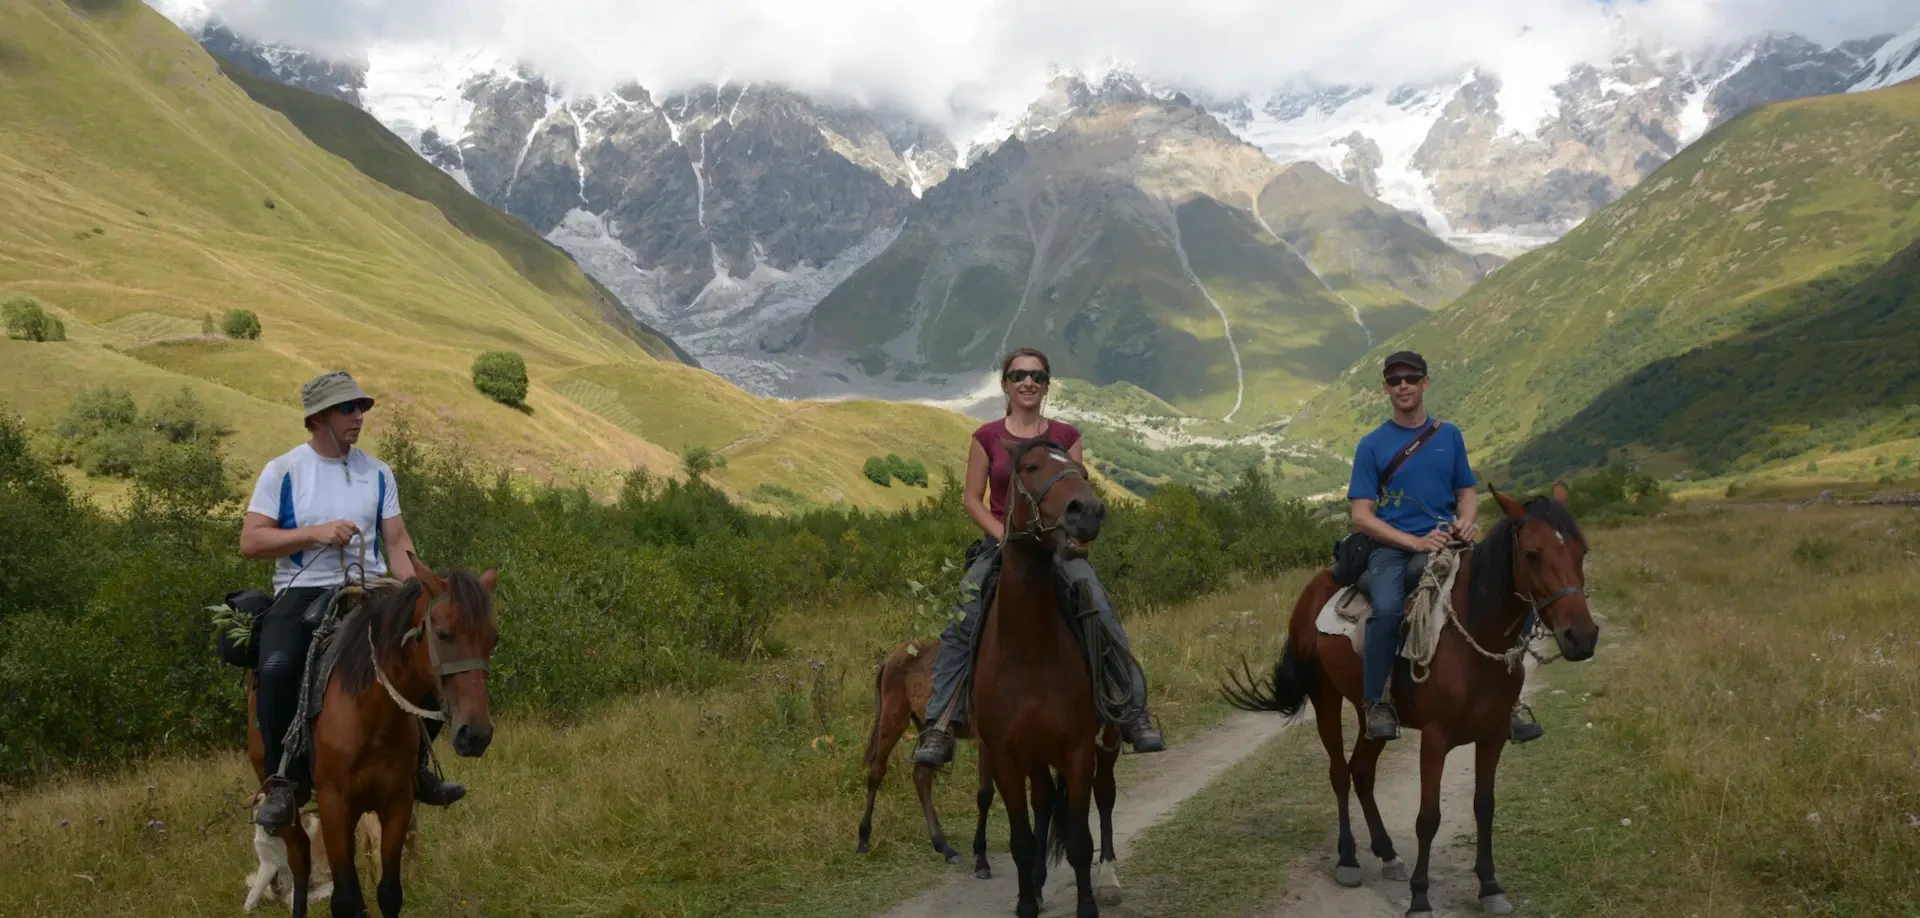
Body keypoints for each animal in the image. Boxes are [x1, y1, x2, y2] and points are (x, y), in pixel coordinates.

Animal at [243, 553, 499, 918]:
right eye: (442, 632)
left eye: (493, 638)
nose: (475, 734)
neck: (371, 717)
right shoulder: (335, 805)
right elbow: (345, 899)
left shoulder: (397, 804)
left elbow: (389, 892)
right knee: (299, 859)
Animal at [860, 633, 1121, 879]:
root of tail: (893, 657)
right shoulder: (990, 744)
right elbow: (985, 794)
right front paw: (982, 860)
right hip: (893, 719)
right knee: (876, 772)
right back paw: (863, 840)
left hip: (924, 726)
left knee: (921, 777)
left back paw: (945, 847)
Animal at [975, 437, 1121, 918]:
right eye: (1031, 467)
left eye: (1083, 471)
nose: (1088, 511)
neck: (1028, 652)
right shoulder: (1004, 756)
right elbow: (1021, 840)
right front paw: (1027, 901)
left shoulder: (1078, 749)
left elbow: (1079, 840)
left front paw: (1088, 904)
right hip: (1035, 757)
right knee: (1041, 804)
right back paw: (1037, 882)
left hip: (1106, 743)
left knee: (1106, 796)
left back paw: (1109, 877)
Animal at [1228, 483, 1605, 914]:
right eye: (1532, 554)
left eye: (1581, 550)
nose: (1581, 637)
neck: (1473, 637)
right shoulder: (1435, 738)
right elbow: (1428, 817)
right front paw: (1420, 897)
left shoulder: (1492, 735)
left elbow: (1485, 806)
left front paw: (1489, 886)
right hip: (1326, 697)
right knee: (1340, 773)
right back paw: (1348, 859)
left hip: (1372, 713)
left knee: (1362, 770)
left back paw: (1387, 852)